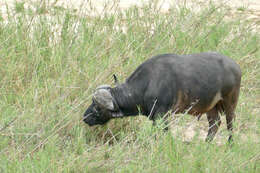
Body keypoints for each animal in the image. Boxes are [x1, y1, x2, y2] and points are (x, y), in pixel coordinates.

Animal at [84, 51, 242, 142]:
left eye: (97, 108)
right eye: (92, 102)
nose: (85, 117)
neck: (148, 83)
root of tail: (235, 66)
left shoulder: (162, 116)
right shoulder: (155, 118)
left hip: (230, 102)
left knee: (230, 124)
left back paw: (230, 144)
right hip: (211, 107)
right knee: (215, 124)